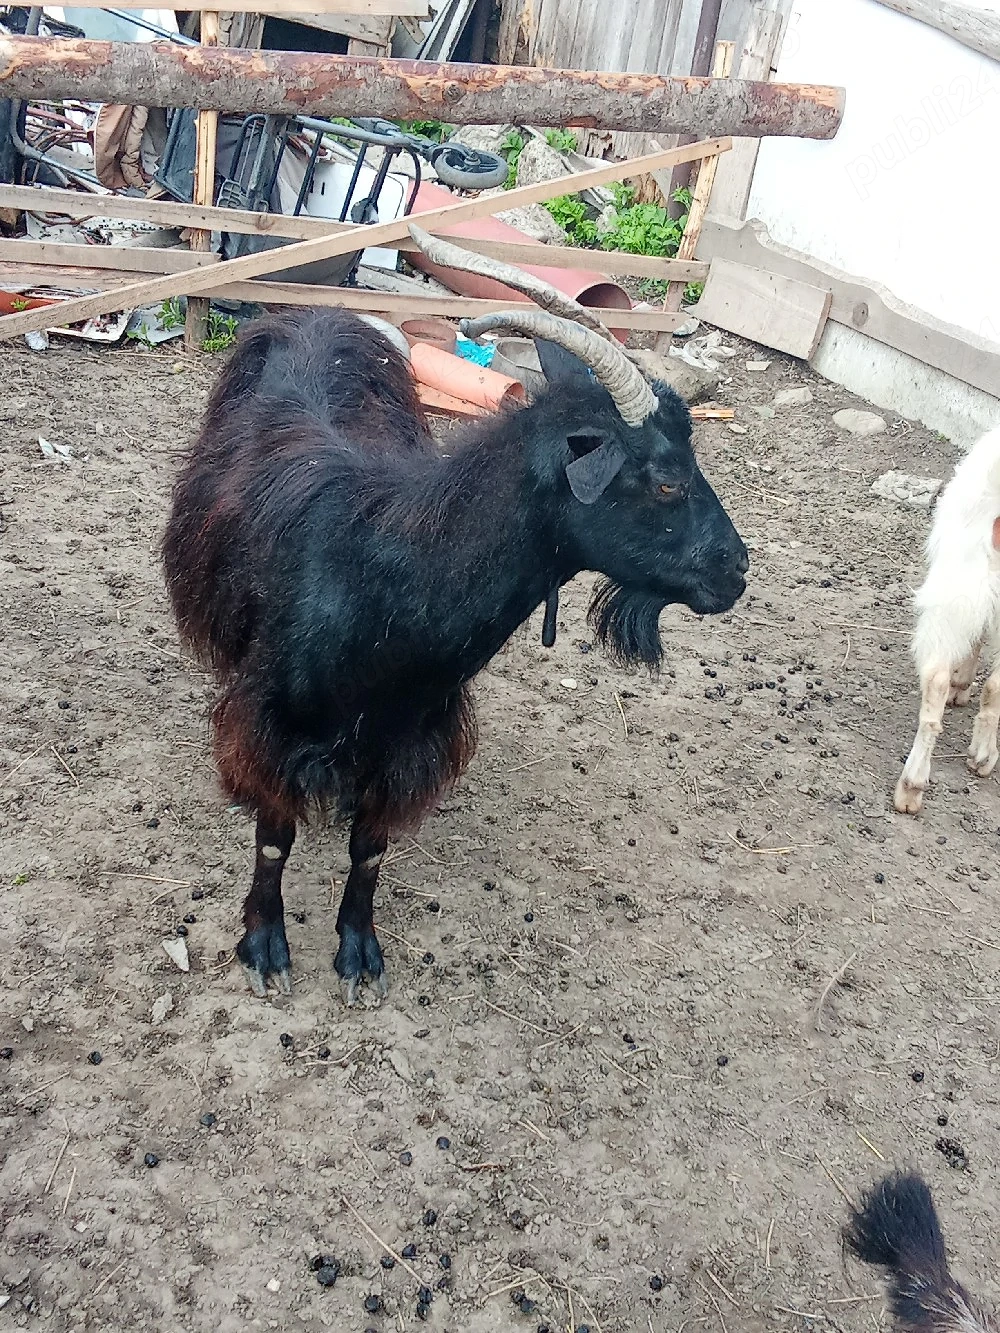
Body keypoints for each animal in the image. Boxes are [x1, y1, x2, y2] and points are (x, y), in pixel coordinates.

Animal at [162, 227, 748, 1004]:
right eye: (666, 480)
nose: (736, 569)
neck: (381, 576)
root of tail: (319, 313)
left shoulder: (408, 741)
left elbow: (370, 849)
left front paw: (358, 953)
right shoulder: (275, 720)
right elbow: (273, 836)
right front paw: (265, 947)